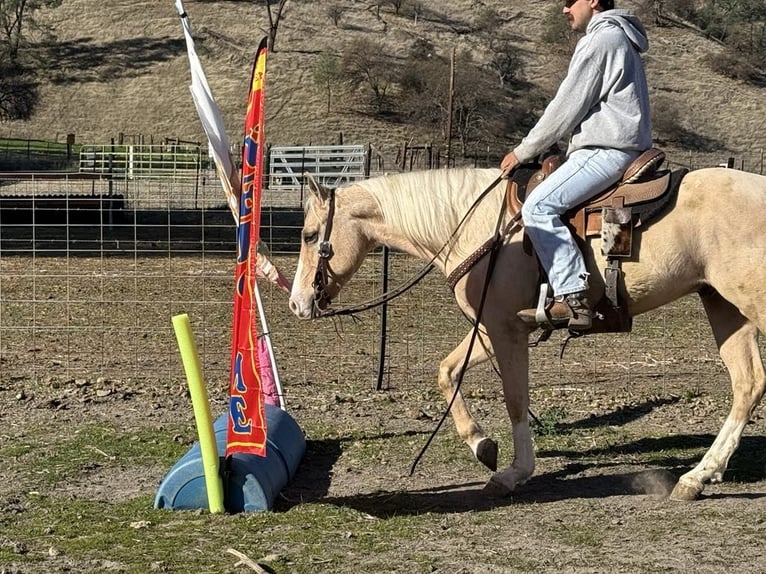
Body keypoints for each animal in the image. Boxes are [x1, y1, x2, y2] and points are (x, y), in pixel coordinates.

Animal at [288, 165, 766, 501]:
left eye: (310, 235)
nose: (296, 304)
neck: (482, 227)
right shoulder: (490, 328)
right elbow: (446, 372)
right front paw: (482, 445)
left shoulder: (505, 330)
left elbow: (516, 399)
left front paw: (514, 472)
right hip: (723, 306)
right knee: (748, 382)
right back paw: (697, 476)